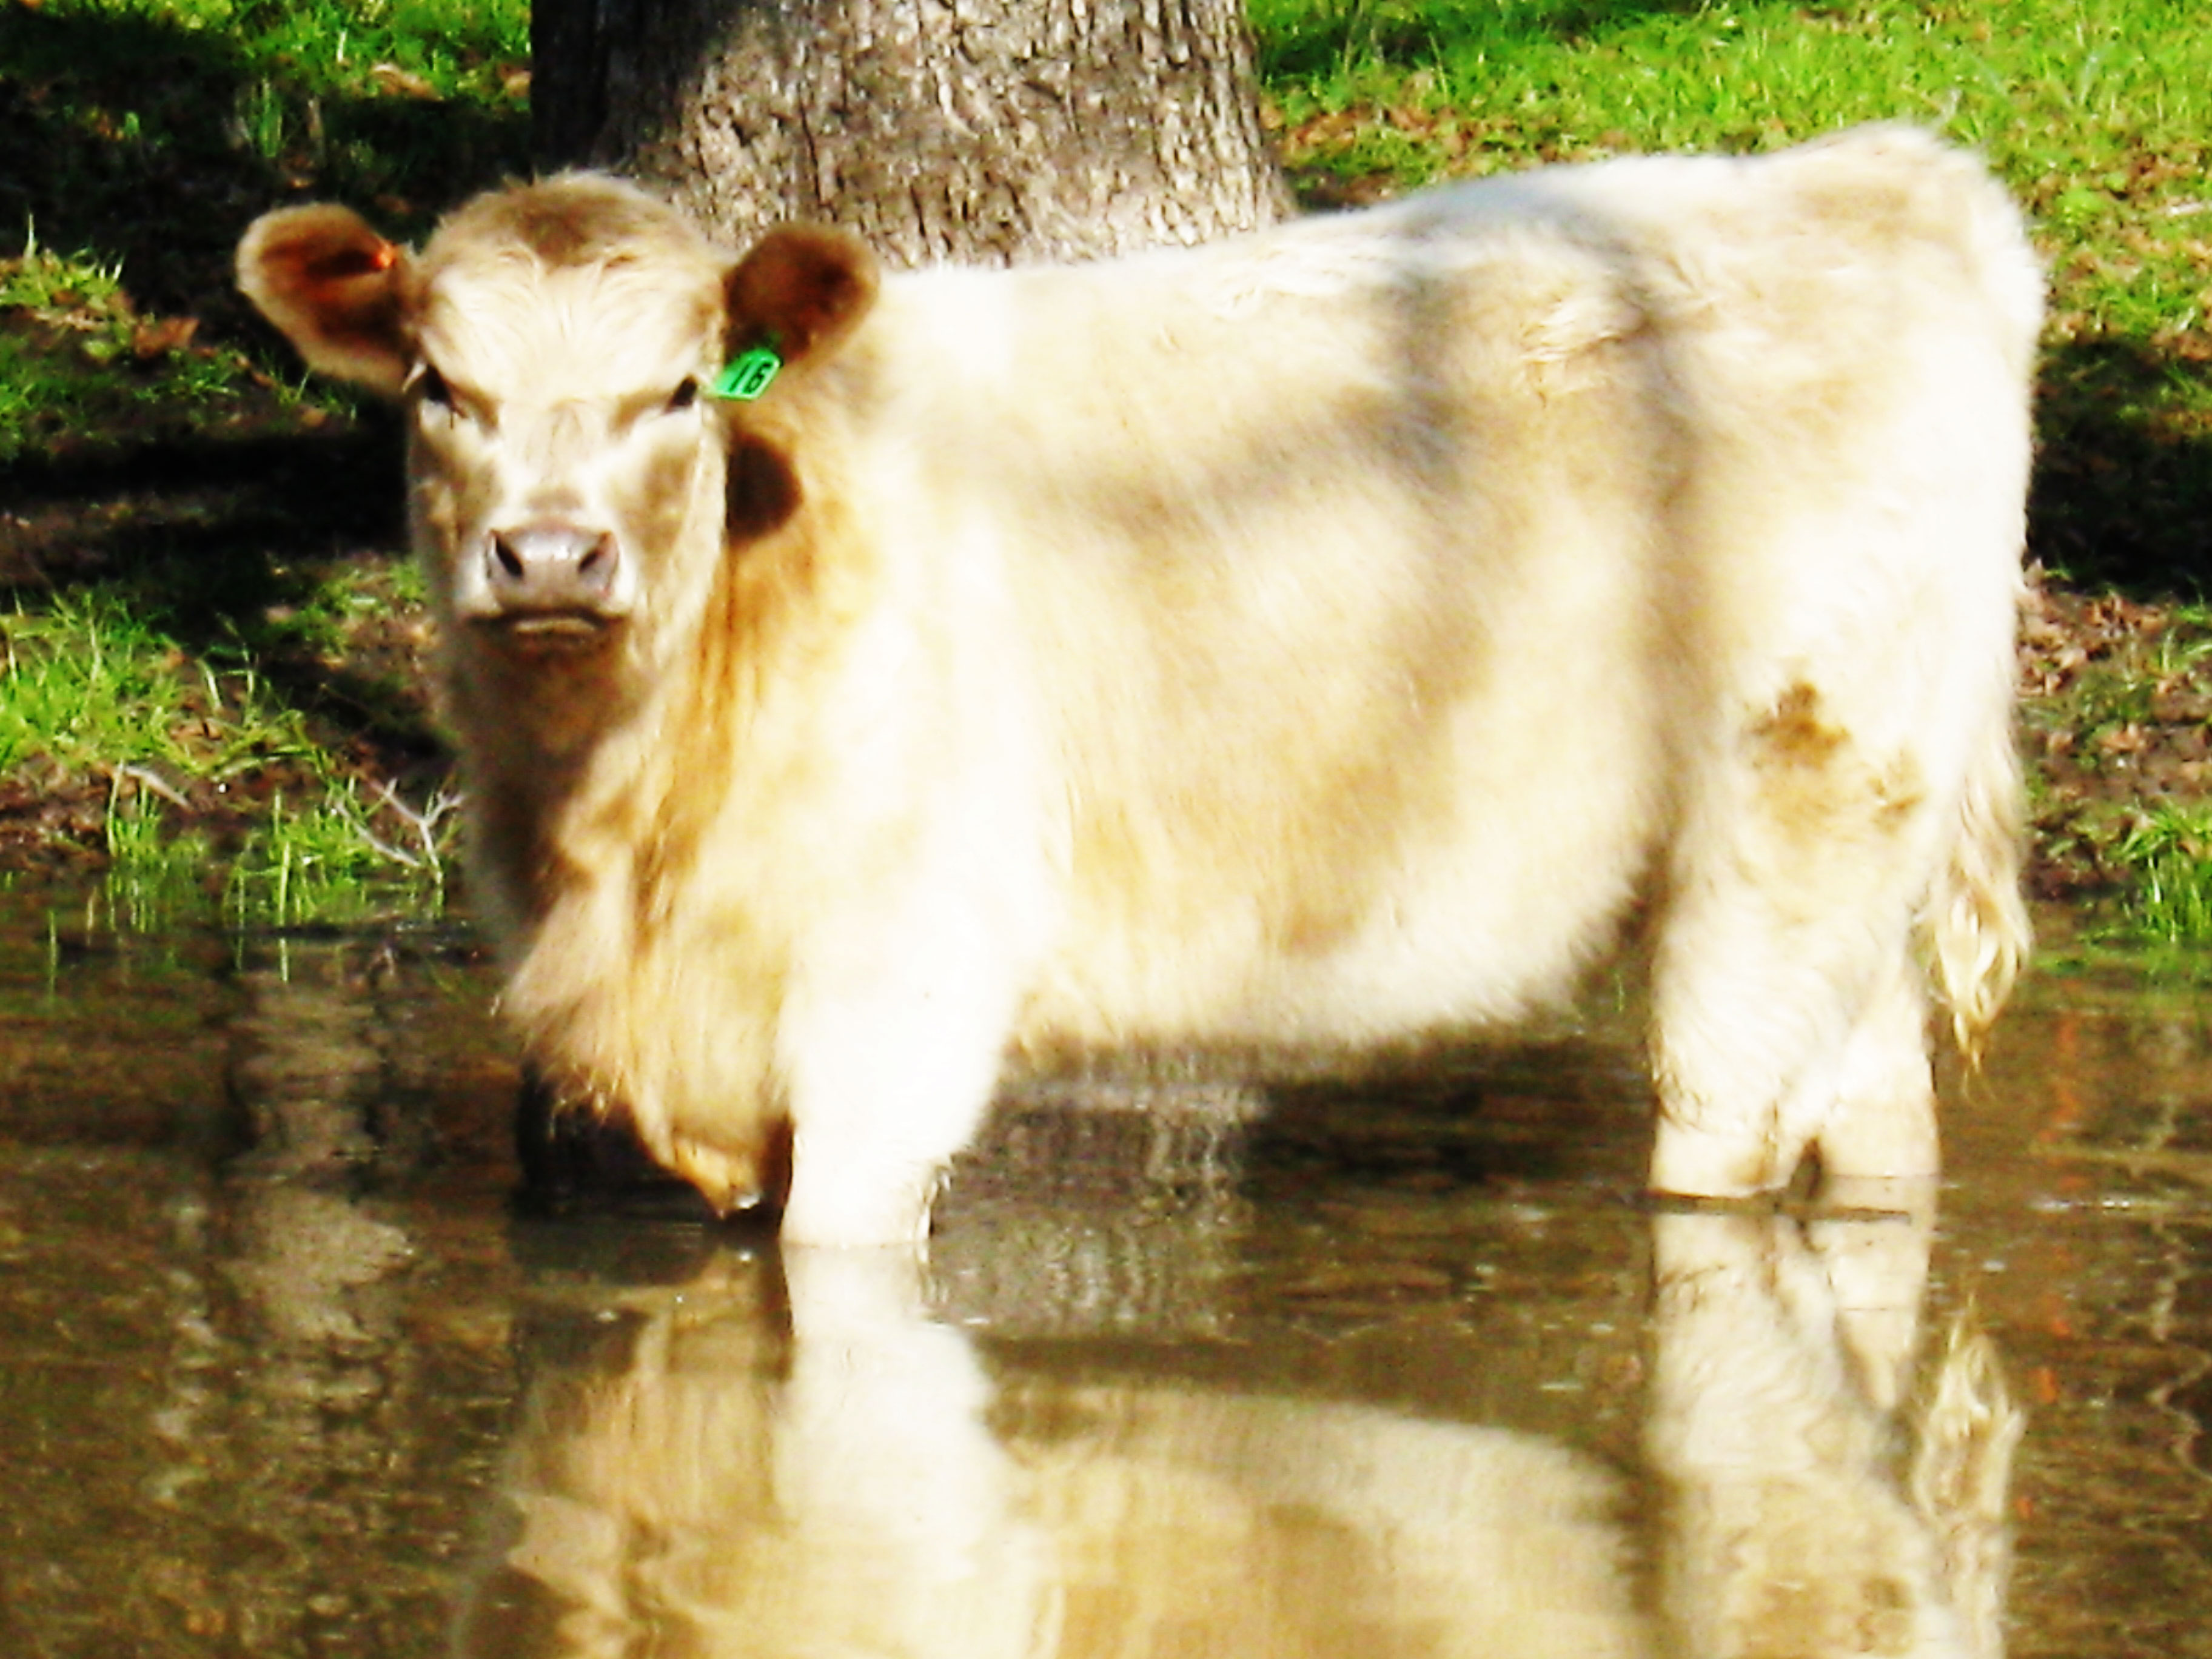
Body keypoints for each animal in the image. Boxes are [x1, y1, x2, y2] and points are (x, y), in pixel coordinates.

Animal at [236, 124, 2038, 1247]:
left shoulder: (898, 1005)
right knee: (1880, 1112)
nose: (549, 555)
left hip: (1779, 834)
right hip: (1842, 862)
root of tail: (1880, 175)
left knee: (1727, 1130)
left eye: (679, 389)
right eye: (434, 382)